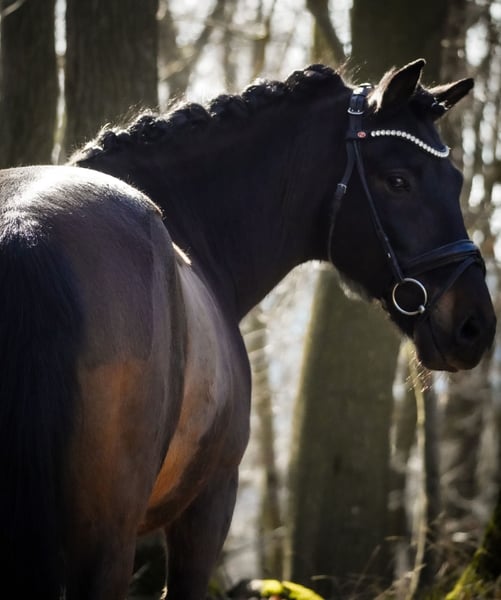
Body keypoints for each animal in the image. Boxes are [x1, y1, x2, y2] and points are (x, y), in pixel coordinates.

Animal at [0, 58, 495, 599]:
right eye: (400, 181)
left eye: (456, 179)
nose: (476, 325)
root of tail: (25, 228)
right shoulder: (210, 504)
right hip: (108, 541)